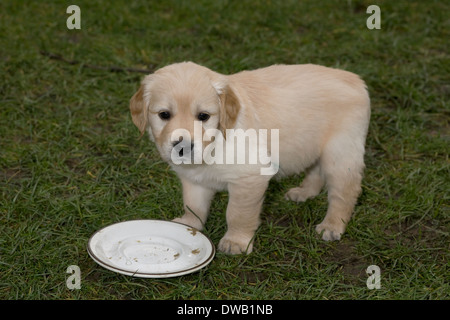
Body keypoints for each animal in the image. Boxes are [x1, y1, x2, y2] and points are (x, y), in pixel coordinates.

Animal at [129, 61, 370, 254]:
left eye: (203, 116)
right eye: (164, 115)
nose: (183, 146)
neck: (217, 141)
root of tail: (355, 79)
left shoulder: (249, 177)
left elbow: (237, 213)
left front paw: (236, 242)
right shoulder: (194, 178)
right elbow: (193, 205)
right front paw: (189, 225)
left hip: (340, 154)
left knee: (345, 192)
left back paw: (332, 225)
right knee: (316, 170)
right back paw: (304, 192)